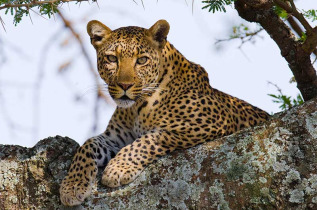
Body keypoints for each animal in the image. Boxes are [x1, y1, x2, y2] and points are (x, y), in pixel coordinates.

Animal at [58, 18, 266, 206]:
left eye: (142, 60)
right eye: (112, 58)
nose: (125, 85)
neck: (136, 109)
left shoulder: (207, 124)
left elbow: (149, 139)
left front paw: (118, 168)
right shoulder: (116, 138)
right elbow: (88, 145)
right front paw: (72, 185)